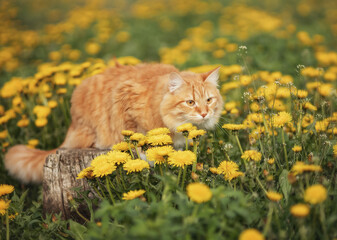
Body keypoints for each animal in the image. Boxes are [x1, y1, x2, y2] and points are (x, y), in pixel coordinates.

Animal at [3, 62, 223, 183]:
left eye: (209, 100)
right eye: (190, 102)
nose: (205, 113)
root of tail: (73, 123)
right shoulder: (124, 100)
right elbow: (136, 139)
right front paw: (147, 157)